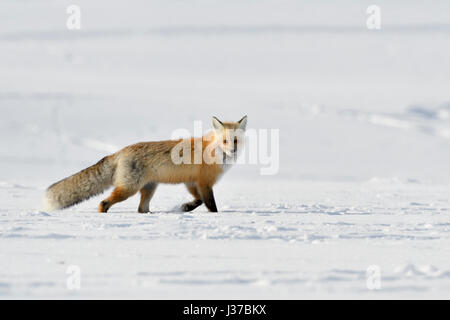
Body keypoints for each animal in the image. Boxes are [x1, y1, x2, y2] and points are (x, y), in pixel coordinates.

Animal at [44, 116, 248, 214]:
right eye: (225, 141)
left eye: (235, 141)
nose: (233, 151)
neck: (213, 152)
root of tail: (119, 151)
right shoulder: (204, 182)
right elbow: (210, 205)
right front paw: (215, 216)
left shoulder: (191, 181)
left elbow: (198, 201)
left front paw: (185, 207)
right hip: (129, 189)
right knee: (104, 202)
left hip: (149, 188)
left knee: (141, 209)